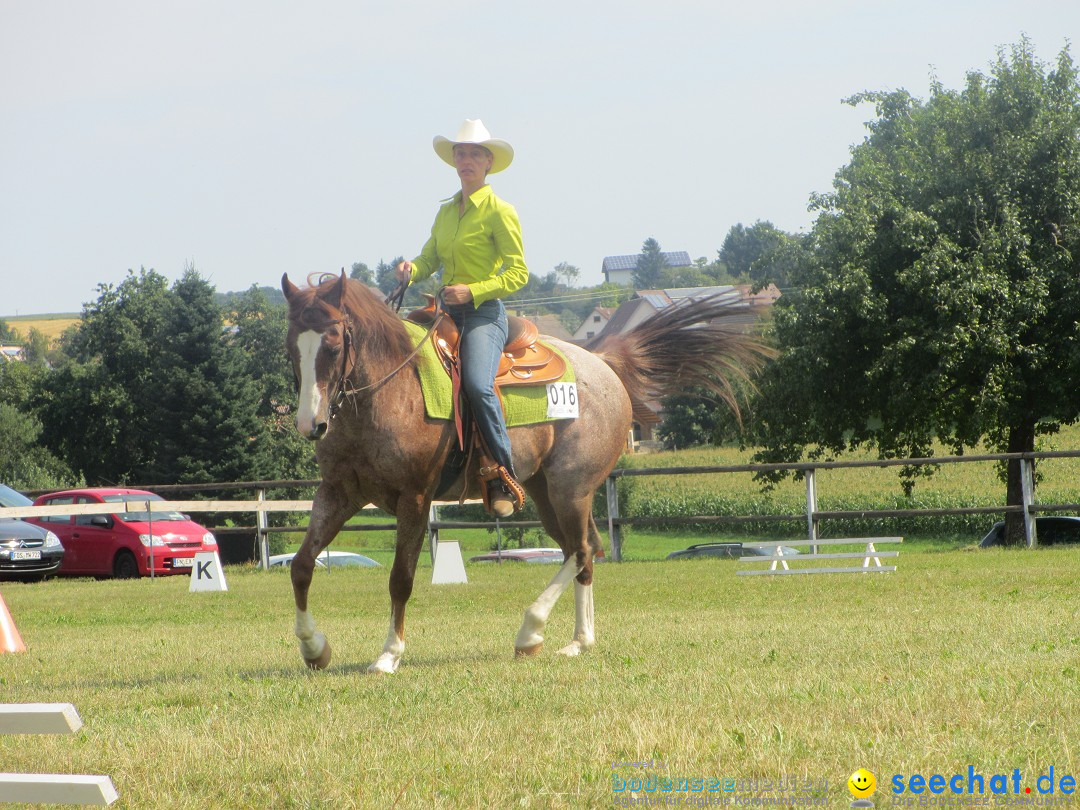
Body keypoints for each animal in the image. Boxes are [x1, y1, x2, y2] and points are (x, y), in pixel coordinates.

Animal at [278, 273, 768, 673]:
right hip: (543, 492)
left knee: (581, 550)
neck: (391, 390)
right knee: (582, 552)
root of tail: (602, 361)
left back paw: (531, 631)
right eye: (290, 349)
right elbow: (301, 566)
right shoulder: (338, 493)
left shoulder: (414, 499)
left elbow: (401, 578)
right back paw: (579, 641)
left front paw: (388, 654)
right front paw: (313, 647)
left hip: (572, 489)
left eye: (333, 344)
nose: (310, 424)